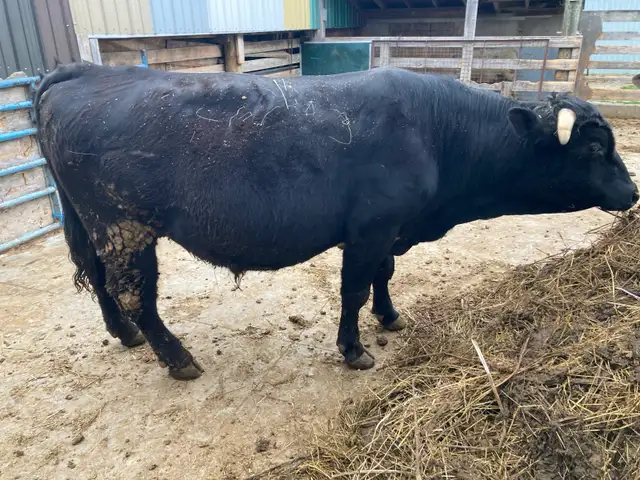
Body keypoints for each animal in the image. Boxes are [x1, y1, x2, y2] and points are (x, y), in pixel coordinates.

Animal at [34, 63, 638, 380]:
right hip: (124, 225)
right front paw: (353, 349)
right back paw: (177, 357)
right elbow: (354, 288)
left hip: (92, 222)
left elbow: (383, 277)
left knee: (97, 278)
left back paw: (126, 334)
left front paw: (390, 318)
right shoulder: (369, 230)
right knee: (133, 291)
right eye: (594, 148)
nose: (633, 192)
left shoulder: (391, 229)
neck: (437, 131)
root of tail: (91, 72)